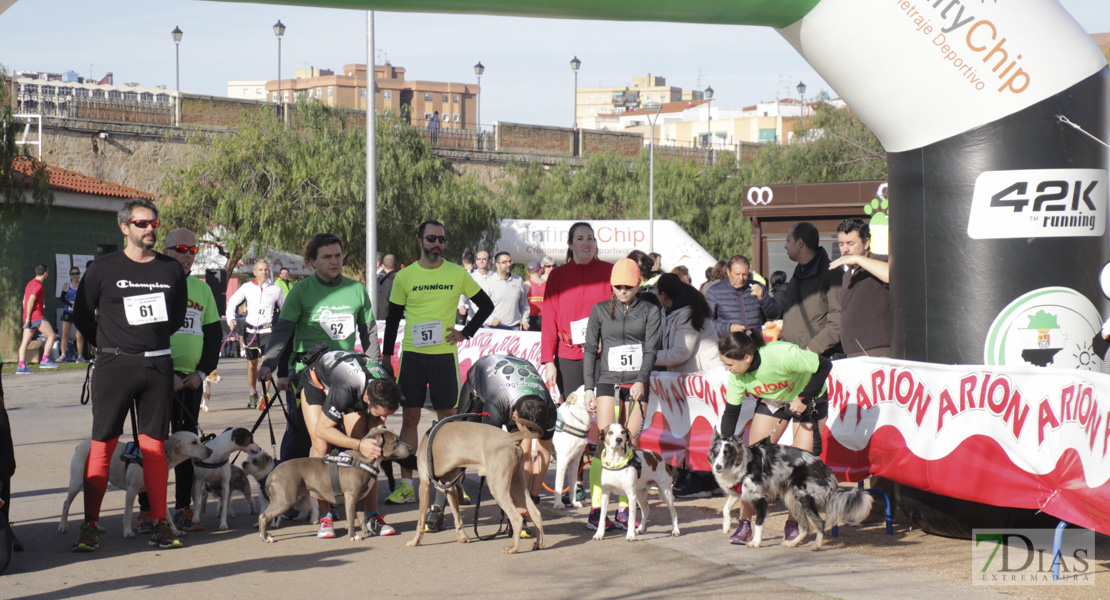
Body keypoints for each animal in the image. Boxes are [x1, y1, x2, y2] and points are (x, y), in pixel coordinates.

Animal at [58, 430, 213, 539]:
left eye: (199, 440)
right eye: (193, 442)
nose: (210, 450)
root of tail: (80, 445)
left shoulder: (158, 489)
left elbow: (167, 515)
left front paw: (174, 531)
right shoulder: (131, 491)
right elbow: (128, 513)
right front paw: (127, 532)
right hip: (77, 482)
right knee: (65, 504)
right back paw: (63, 526)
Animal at [408, 417, 546, 552]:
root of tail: (509, 437)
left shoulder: (424, 484)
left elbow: (420, 520)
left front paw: (415, 541)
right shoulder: (450, 486)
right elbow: (457, 515)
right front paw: (463, 537)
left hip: (498, 485)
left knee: (517, 517)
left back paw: (513, 548)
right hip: (517, 482)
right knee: (536, 513)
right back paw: (539, 544)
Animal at [705, 430, 870, 547]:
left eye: (727, 453)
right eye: (716, 452)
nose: (717, 467)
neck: (743, 465)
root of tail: (824, 467)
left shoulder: (760, 499)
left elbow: (758, 523)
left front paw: (756, 542)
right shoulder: (739, 493)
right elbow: (725, 508)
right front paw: (726, 527)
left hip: (803, 498)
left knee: (819, 523)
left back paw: (817, 545)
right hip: (792, 499)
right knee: (806, 527)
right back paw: (793, 543)